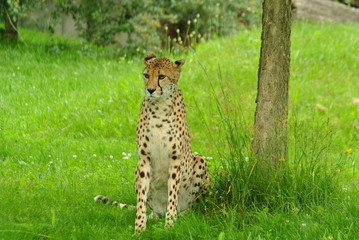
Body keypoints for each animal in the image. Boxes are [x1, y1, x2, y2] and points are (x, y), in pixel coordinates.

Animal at [94, 53, 210, 232]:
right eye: (146, 75)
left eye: (161, 76)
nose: (150, 90)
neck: (160, 105)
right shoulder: (144, 158)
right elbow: (141, 197)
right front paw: (139, 228)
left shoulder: (175, 158)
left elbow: (172, 193)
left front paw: (170, 225)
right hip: (137, 171)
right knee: (154, 209)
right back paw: (154, 217)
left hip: (200, 160)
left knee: (190, 206)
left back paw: (182, 216)